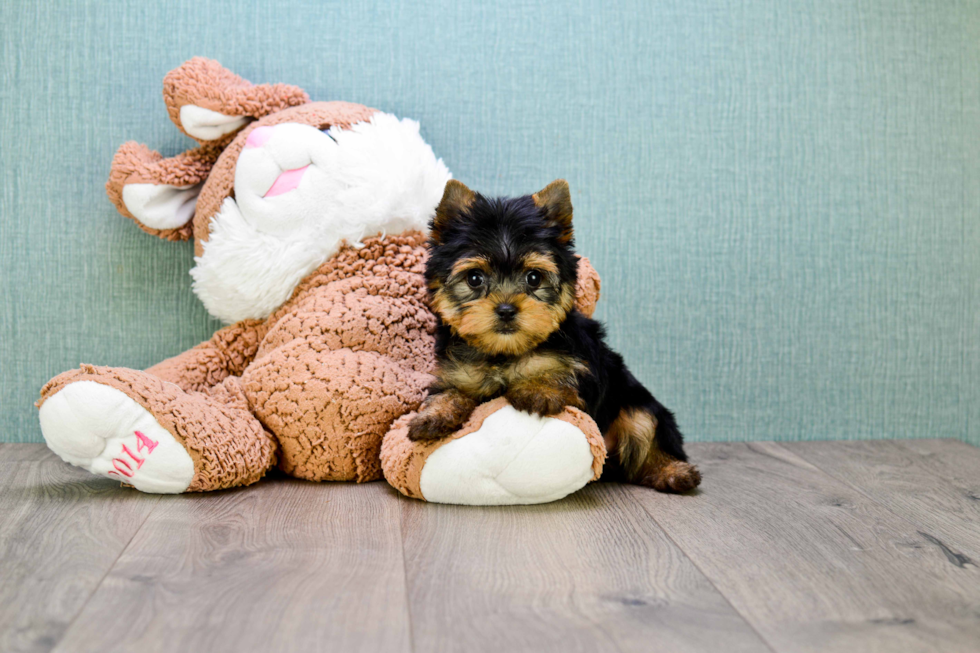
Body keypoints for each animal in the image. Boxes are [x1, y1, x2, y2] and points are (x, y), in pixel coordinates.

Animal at [408, 180, 704, 494]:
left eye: (534, 278)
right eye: (474, 279)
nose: (506, 309)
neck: (504, 351)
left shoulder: (584, 375)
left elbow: (559, 376)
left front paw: (538, 389)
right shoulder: (458, 372)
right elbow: (449, 392)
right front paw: (433, 416)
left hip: (635, 406)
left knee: (645, 432)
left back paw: (672, 471)